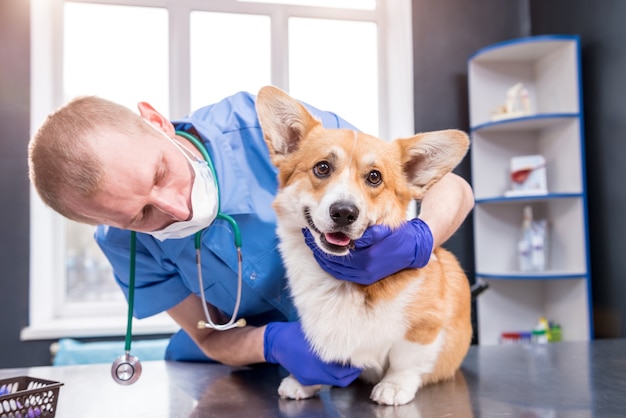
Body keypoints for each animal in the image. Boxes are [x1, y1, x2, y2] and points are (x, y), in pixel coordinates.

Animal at [254, 85, 468, 404]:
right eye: (322, 168)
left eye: (374, 177)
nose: (344, 212)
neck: (342, 282)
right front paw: (305, 381)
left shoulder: (425, 328)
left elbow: (406, 360)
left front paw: (394, 386)